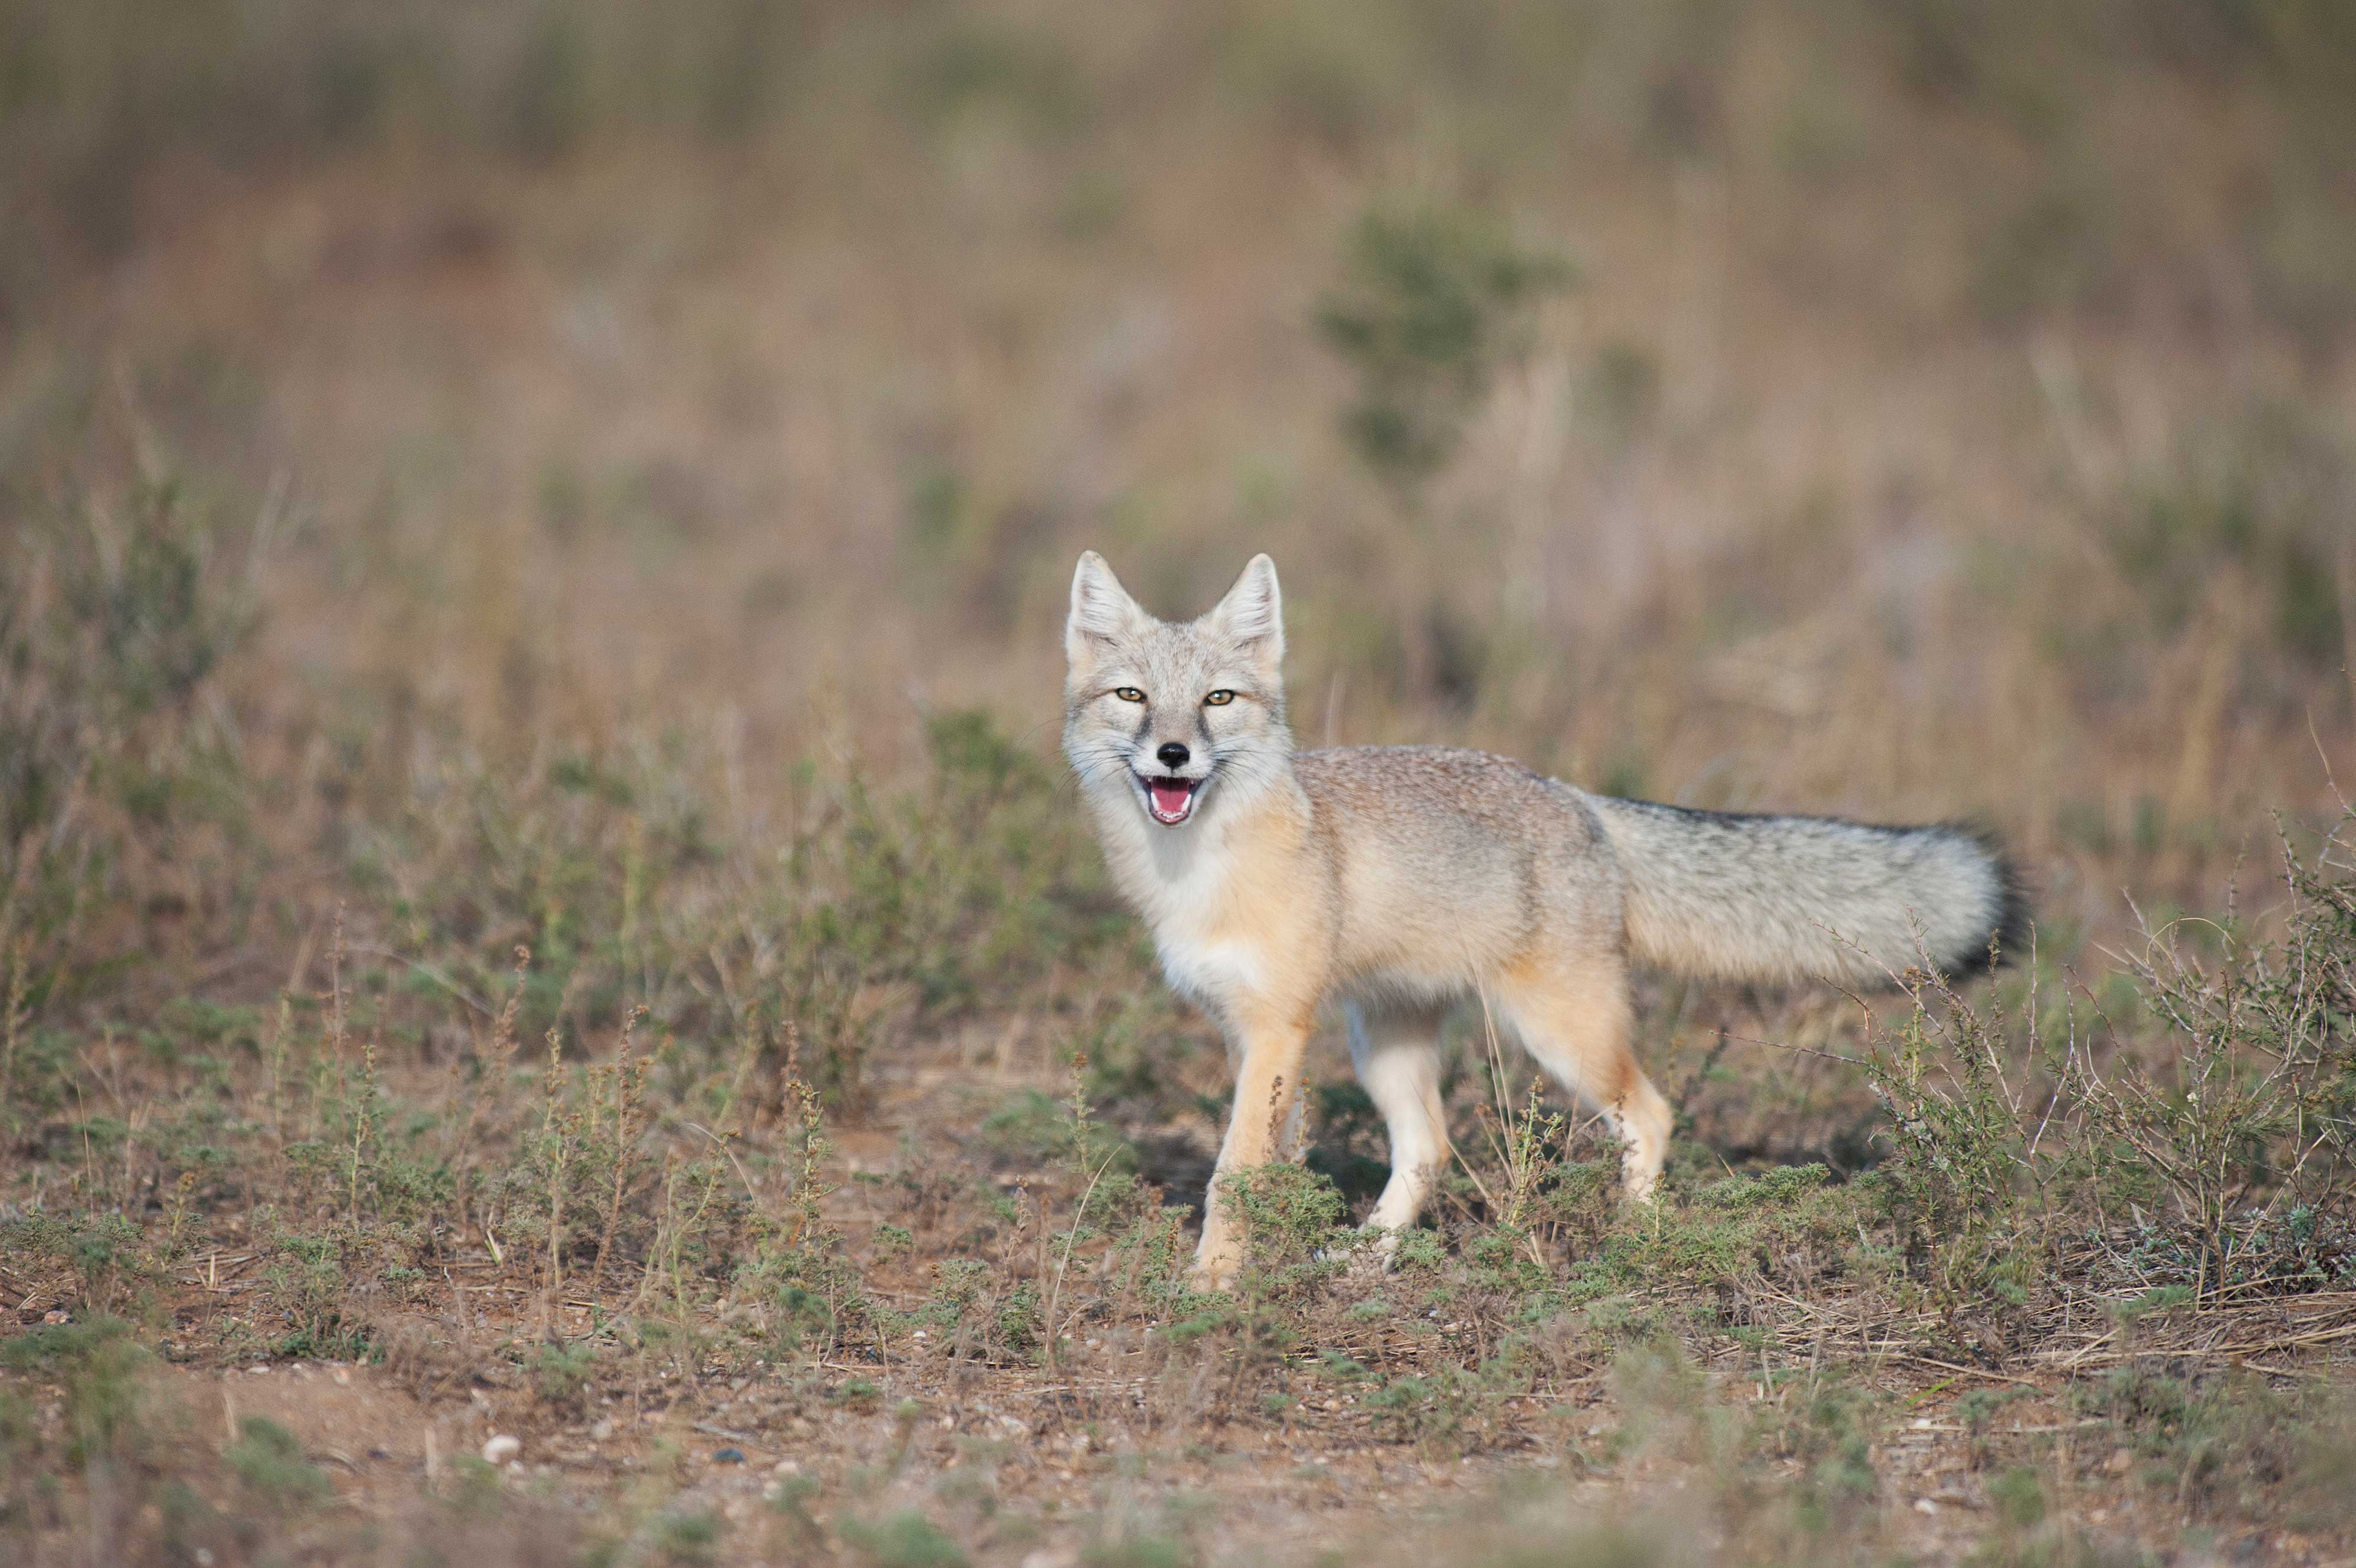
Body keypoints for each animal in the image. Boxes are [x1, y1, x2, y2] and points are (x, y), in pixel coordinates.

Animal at [1070, 548, 2026, 1281]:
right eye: (1132, 697)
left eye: (1218, 701)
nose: (1173, 753)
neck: (1197, 873)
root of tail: (1577, 797)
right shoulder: (1250, 1030)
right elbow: (1270, 1164)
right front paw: (1259, 1259)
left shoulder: (1277, 1027)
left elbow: (1234, 1171)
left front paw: (1214, 1284)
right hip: (1384, 1042)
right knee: (1429, 1147)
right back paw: (1370, 1254)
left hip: (1559, 1031)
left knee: (1651, 1114)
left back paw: (1635, 1241)